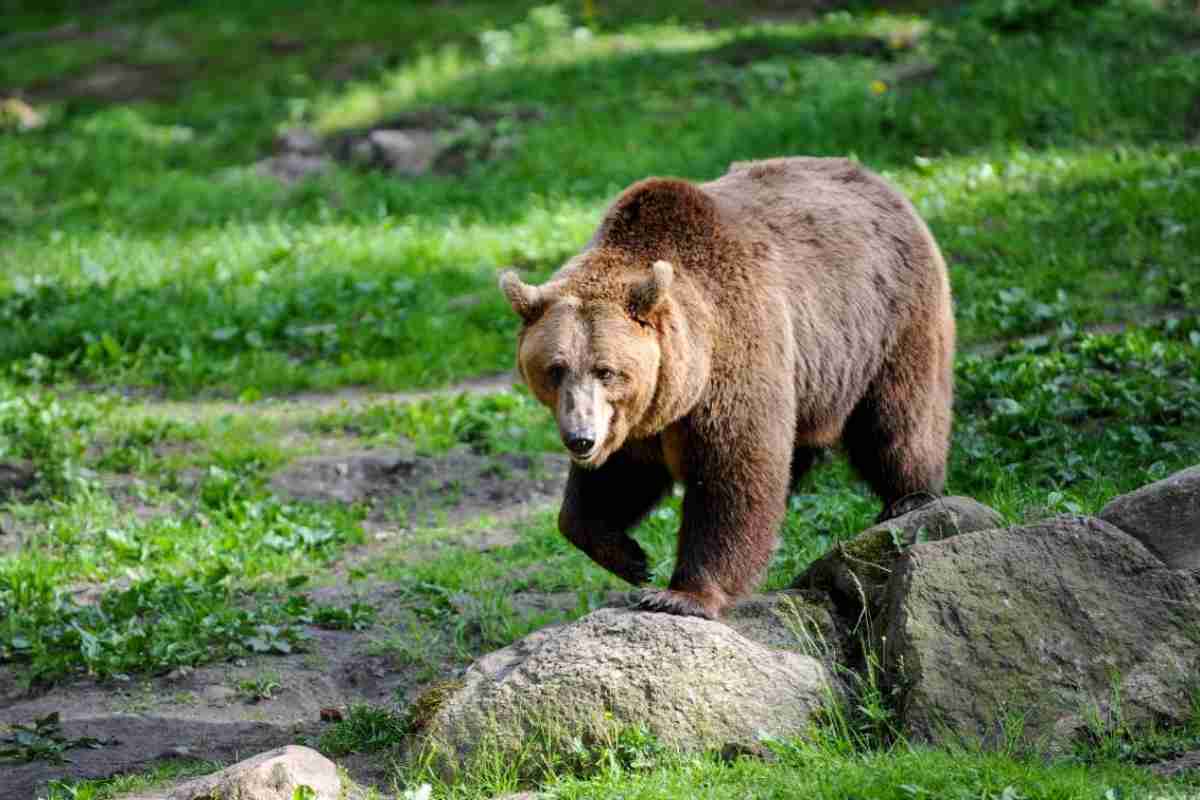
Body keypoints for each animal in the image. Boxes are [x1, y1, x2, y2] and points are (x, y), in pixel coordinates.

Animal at [499, 156, 955, 620]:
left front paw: (680, 594)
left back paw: (911, 498)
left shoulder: (733, 356)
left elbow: (732, 473)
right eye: (555, 369)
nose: (580, 439)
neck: (683, 380)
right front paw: (630, 557)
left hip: (888, 323)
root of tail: (879, 181)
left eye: (606, 370)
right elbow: (612, 483)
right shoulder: (635, 419)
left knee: (897, 420)